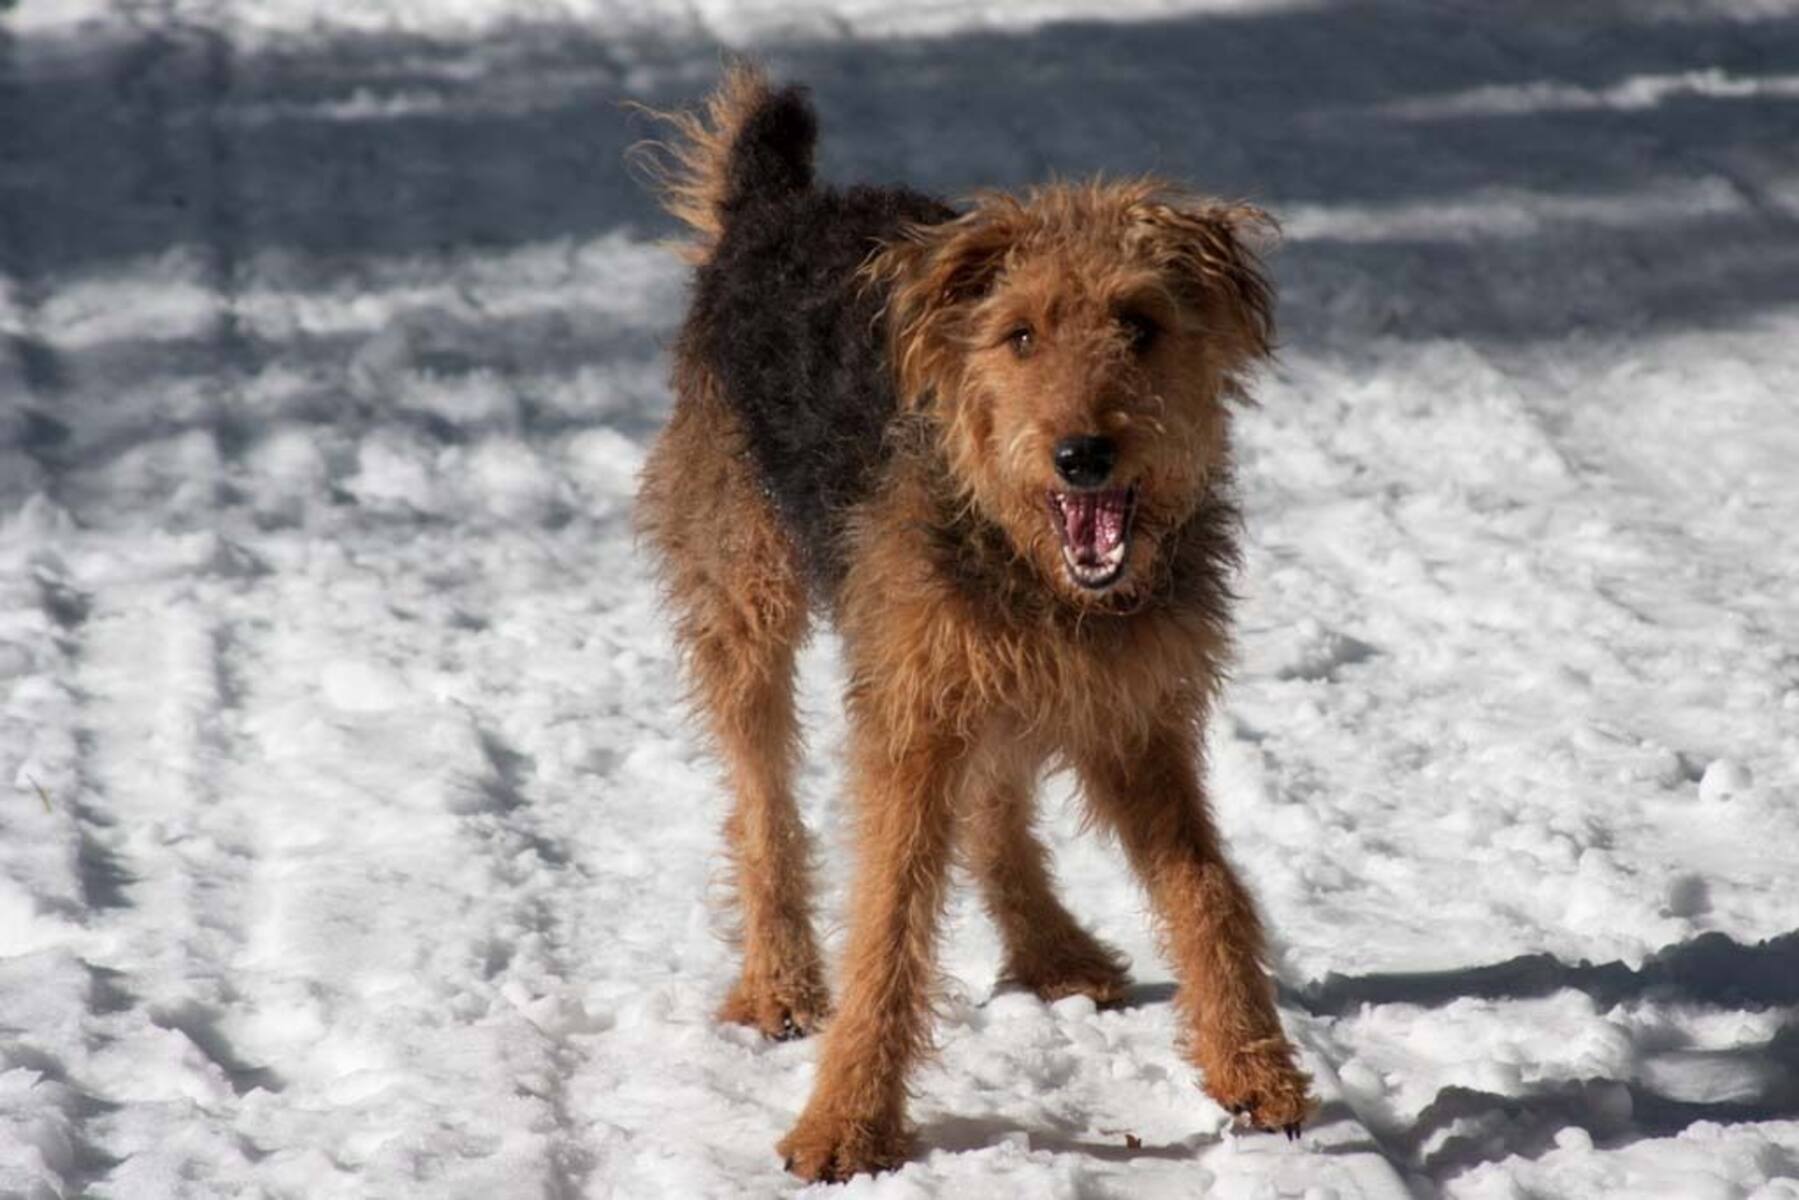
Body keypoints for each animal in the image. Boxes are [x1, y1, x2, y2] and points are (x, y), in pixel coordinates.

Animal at [635, 65, 1315, 1182]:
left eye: (1139, 323)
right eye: (1020, 335)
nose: (1081, 455)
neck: (1044, 576)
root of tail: (774, 205)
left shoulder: (1135, 717)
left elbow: (1207, 889)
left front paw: (1252, 1064)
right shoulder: (910, 725)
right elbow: (887, 924)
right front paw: (844, 1122)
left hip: (979, 675)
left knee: (995, 802)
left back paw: (1051, 950)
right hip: (748, 597)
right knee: (763, 804)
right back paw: (780, 984)